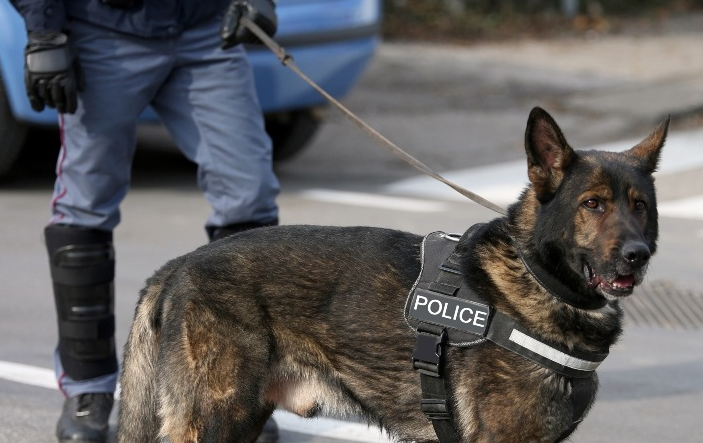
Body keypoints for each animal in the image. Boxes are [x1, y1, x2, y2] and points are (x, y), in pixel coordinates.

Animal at [118, 108, 668, 443]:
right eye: (593, 205)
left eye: (640, 206)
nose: (637, 255)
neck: (534, 276)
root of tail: (177, 265)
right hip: (217, 418)